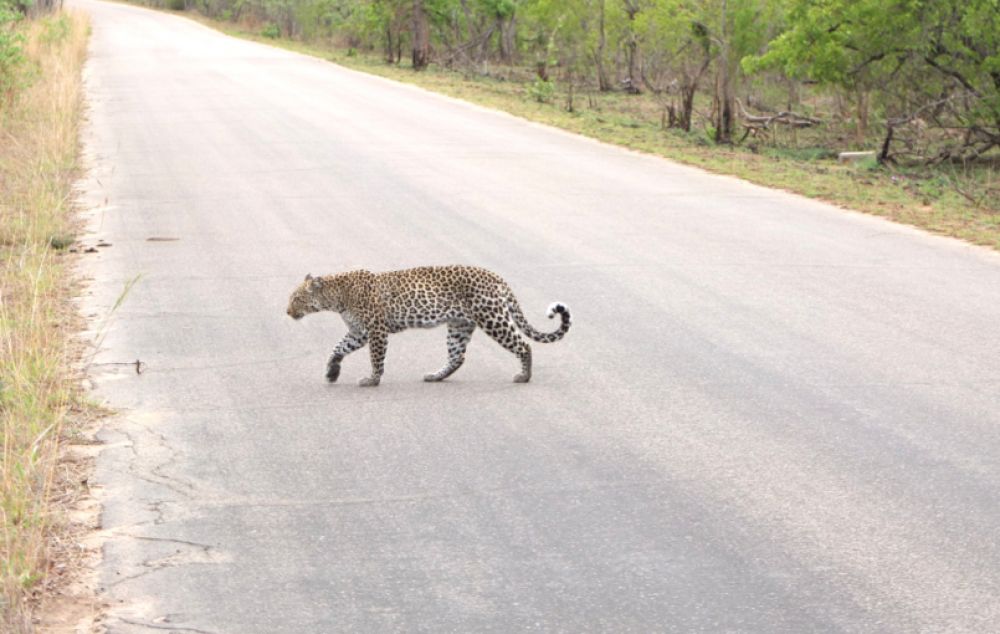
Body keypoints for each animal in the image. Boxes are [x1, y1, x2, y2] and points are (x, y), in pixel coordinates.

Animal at [286, 262, 576, 386]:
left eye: (297, 298)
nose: (287, 312)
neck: (337, 297)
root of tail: (496, 276)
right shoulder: (358, 332)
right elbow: (337, 348)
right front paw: (332, 372)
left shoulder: (376, 331)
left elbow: (376, 358)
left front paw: (372, 380)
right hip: (459, 325)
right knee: (457, 357)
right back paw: (436, 376)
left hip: (493, 318)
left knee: (524, 345)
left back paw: (524, 376)